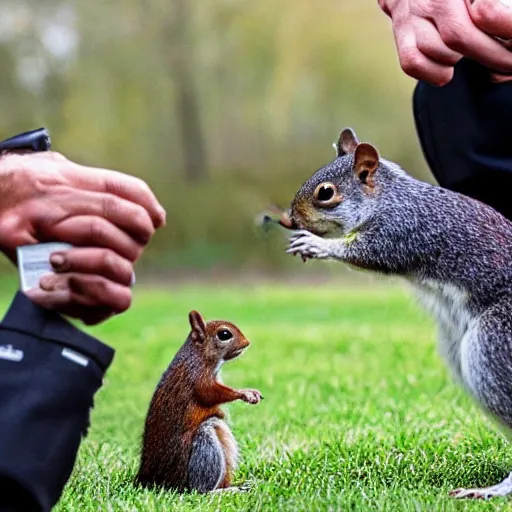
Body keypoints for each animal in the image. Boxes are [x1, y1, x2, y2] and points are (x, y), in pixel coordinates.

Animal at [135, 310, 262, 494]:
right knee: (199, 489)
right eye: (224, 334)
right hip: (203, 447)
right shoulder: (197, 376)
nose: (247, 343)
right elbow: (209, 393)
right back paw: (222, 491)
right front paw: (245, 393)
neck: (199, 354)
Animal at [284, 128, 512, 500]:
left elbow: (367, 253)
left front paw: (317, 245)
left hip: (491, 346)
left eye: (325, 193)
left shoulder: (400, 231)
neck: (390, 198)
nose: (290, 218)